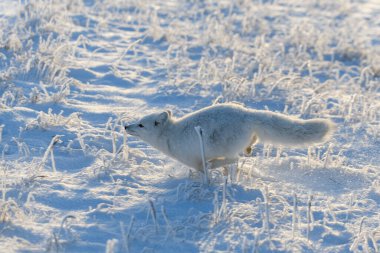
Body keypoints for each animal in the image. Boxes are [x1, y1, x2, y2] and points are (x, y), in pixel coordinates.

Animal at [124, 103, 332, 172]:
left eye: (141, 125)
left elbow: (201, 171)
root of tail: (247, 113)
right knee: (249, 146)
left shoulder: (194, 161)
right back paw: (248, 148)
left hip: (226, 147)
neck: (170, 135)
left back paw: (217, 163)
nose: (125, 126)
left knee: (234, 158)